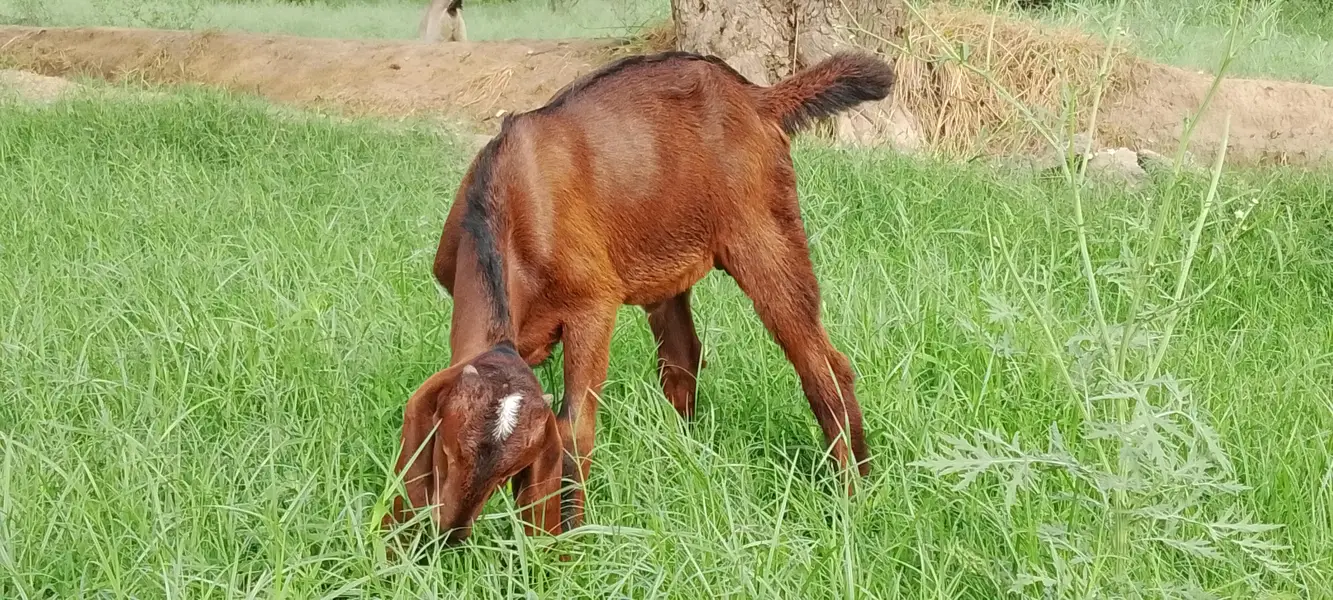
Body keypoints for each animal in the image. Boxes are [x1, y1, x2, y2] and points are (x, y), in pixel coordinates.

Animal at [384, 50, 896, 542]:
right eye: (447, 448)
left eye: (510, 469)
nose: (449, 535)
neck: (509, 203)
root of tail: (756, 97)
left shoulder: (592, 307)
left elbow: (575, 430)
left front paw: (566, 543)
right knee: (684, 356)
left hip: (763, 231)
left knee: (820, 364)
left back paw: (852, 494)